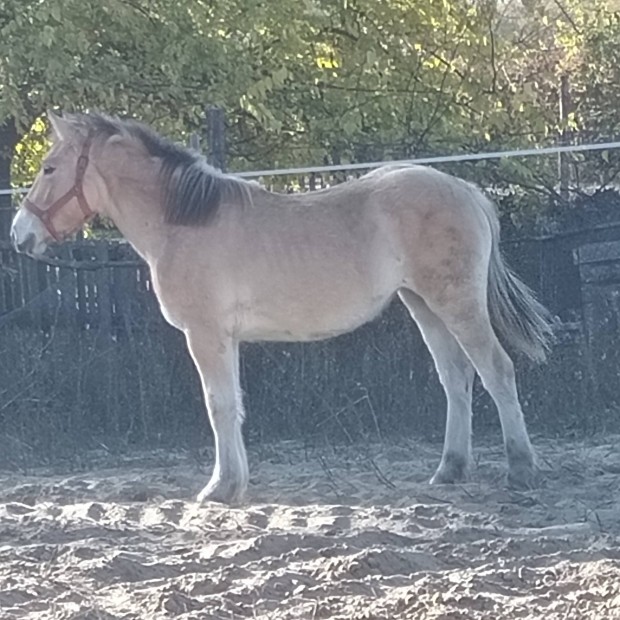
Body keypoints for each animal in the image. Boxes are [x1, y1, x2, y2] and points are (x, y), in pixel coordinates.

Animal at [9, 111, 552, 504]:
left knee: (496, 370)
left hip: (455, 303)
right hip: (423, 305)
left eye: (49, 168)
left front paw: (219, 489)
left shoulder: (205, 335)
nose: (19, 235)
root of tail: (467, 191)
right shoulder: (224, 338)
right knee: (456, 378)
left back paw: (521, 470)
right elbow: (233, 406)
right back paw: (449, 470)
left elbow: (219, 406)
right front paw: (234, 483)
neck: (184, 223)